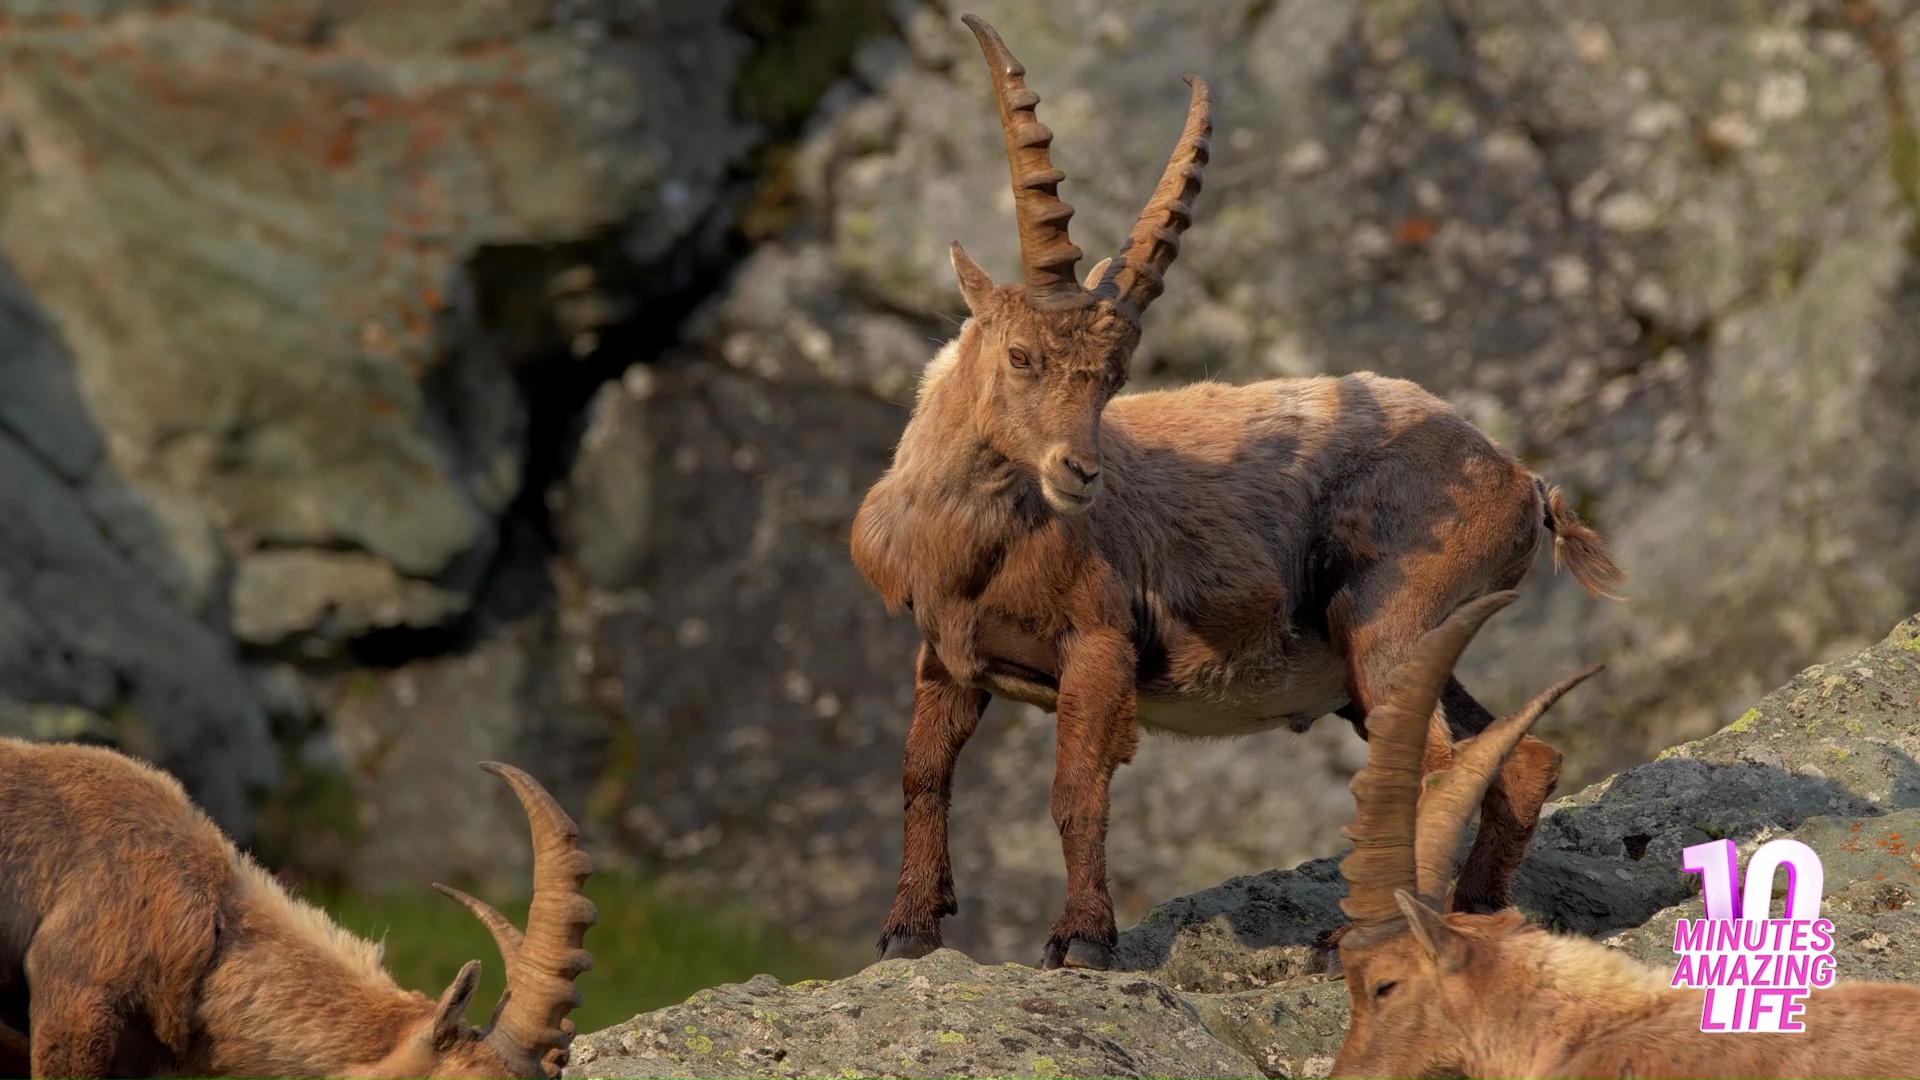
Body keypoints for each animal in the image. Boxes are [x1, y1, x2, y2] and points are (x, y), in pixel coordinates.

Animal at [848, 12, 1625, 971]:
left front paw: (1083, 939)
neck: (975, 537)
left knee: (1438, 768)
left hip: (1388, 624)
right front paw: (909, 928)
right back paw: (1476, 912)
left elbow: (1076, 789)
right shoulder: (946, 654)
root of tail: (1520, 478)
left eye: (1115, 375)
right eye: (1021, 355)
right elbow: (922, 774)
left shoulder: (1098, 643)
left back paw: (1355, 937)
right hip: (1407, 648)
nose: (1081, 474)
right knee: (1516, 756)